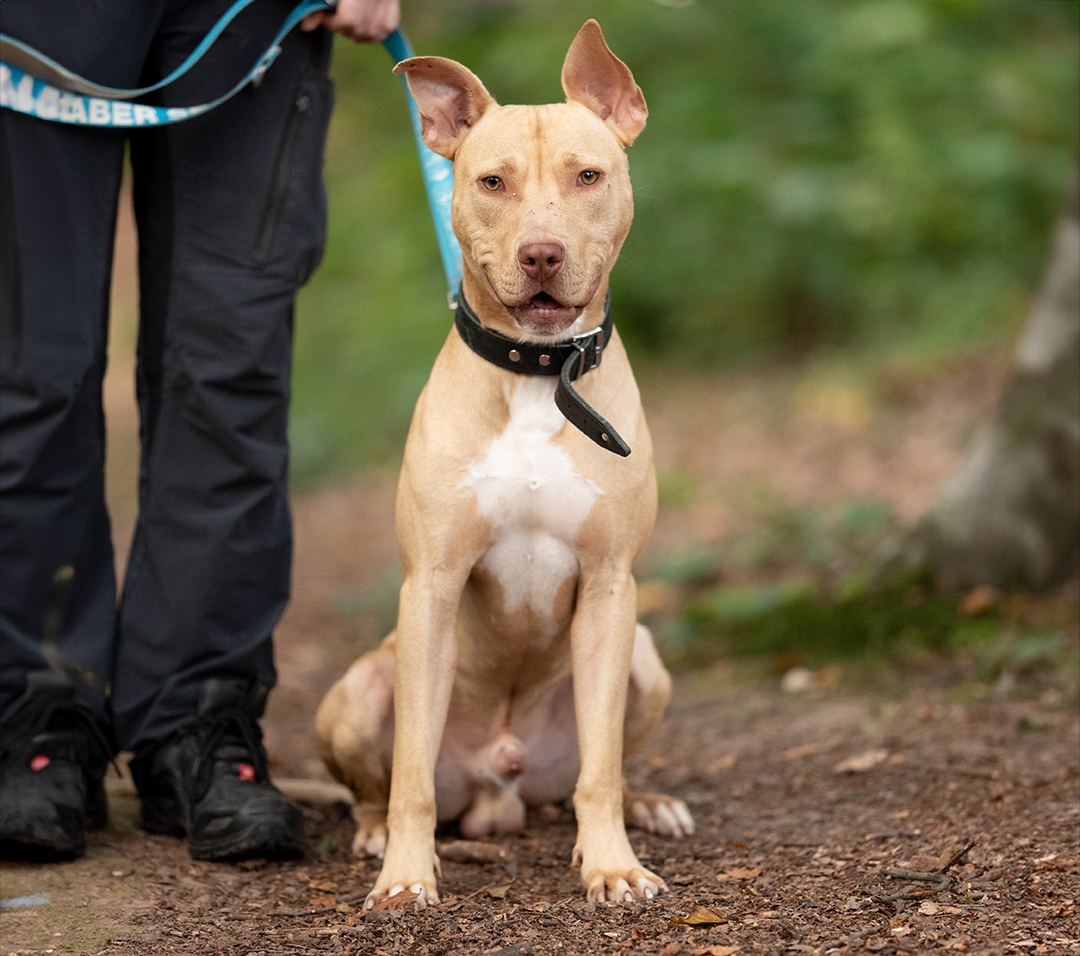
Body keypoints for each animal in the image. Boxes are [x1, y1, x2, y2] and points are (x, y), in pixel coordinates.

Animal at [315, 20, 693, 909]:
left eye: (588, 175)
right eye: (492, 181)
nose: (543, 254)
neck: (536, 373)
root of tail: (502, 783)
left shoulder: (612, 586)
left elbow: (602, 770)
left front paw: (613, 865)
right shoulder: (432, 586)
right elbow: (411, 775)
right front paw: (405, 878)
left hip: (646, 658)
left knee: (603, 767)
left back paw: (649, 804)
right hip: (358, 687)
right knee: (374, 782)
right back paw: (373, 833)